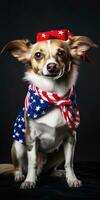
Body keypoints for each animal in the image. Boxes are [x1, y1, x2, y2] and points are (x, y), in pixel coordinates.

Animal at [0, 28, 97, 188]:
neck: (54, 96)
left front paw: (72, 179)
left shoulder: (70, 138)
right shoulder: (31, 139)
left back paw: (57, 173)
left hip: (59, 152)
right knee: (19, 166)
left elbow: (69, 163)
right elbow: (32, 163)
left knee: (50, 170)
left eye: (61, 53)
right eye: (38, 55)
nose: (52, 66)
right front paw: (29, 181)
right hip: (18, 147)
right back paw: (20, 175)